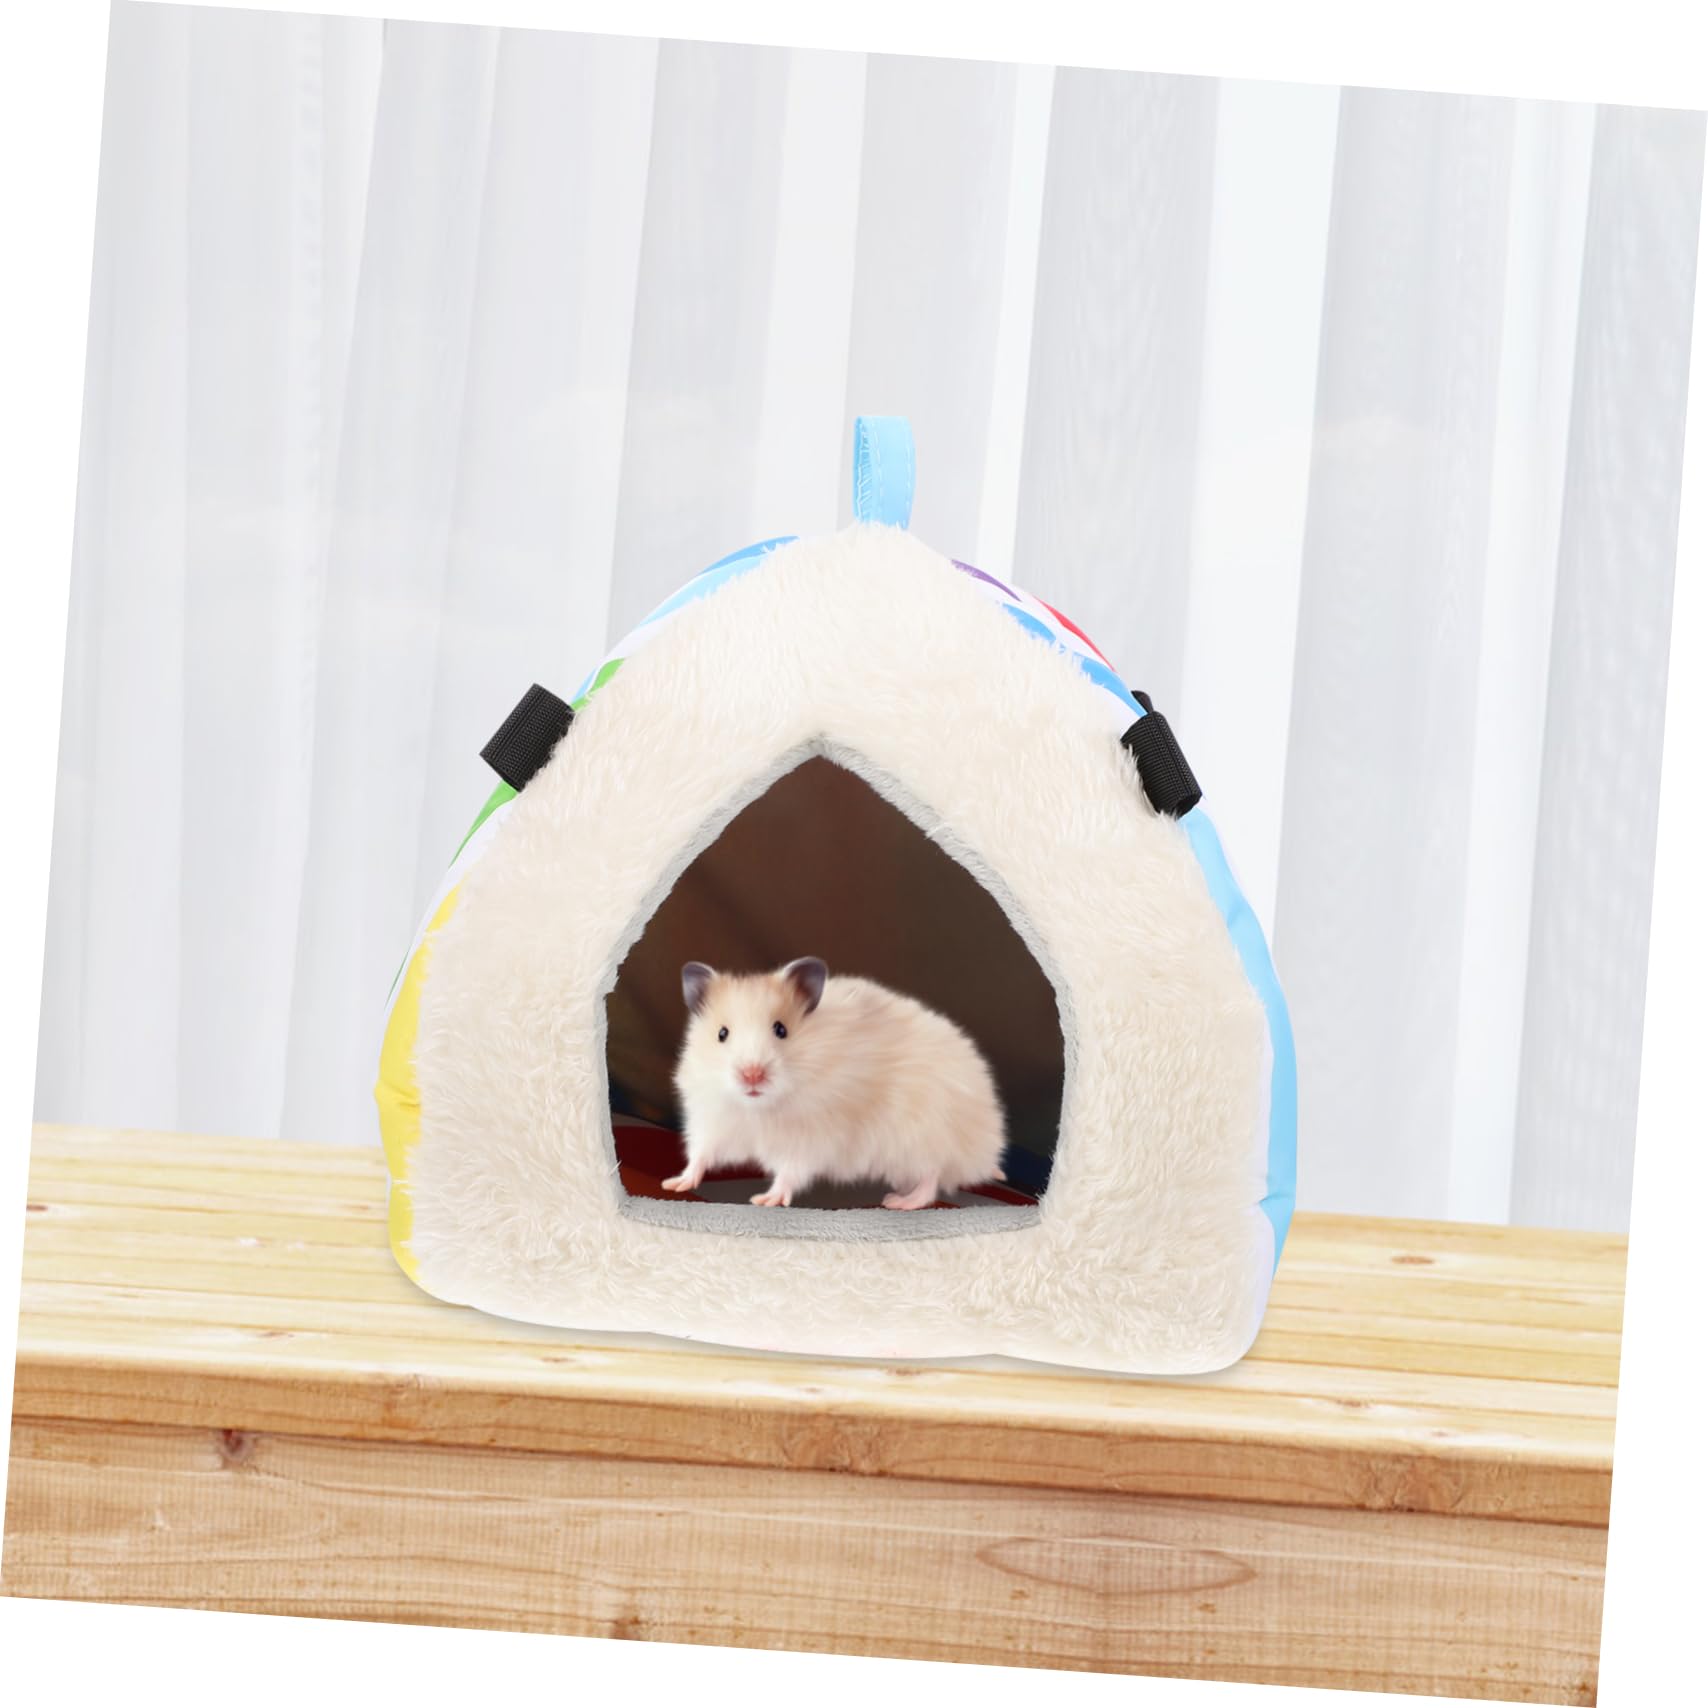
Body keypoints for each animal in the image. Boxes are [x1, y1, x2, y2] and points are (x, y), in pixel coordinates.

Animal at [664, 956, 1008, 1210]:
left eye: (781, 1030)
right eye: (722, 1034)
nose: (752, 1075)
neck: (759, 1107)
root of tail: (986, 1146)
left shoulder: (809, 1138)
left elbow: (789, 1171)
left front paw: (764, 1200)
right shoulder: (713, 1121)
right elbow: (700, 1155)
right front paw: (675, 1183)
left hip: (924, 1137)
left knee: (932, 1178)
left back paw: (897, 1202)